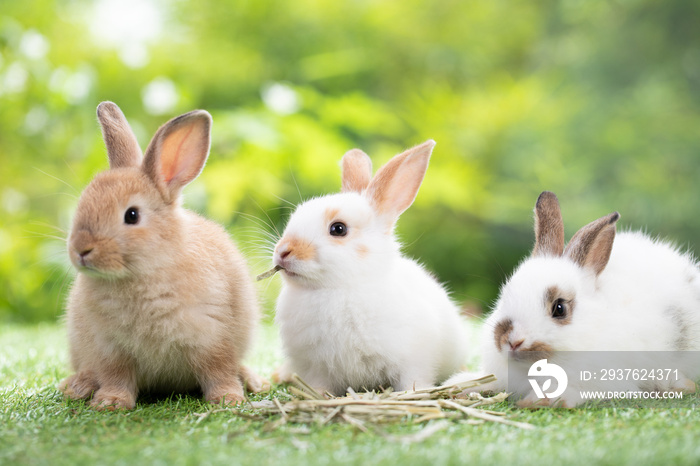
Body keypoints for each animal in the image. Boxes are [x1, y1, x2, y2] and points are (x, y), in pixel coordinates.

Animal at [57, 101, 264, 408]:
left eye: (132, 215)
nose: (81, 249)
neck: (146, 270)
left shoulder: (213, 337)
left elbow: (219, 370)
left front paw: (228, 400)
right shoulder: (111, 348)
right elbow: (116, 376)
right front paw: (110, 403)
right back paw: (76, 386)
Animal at [270, 140, 468, 396]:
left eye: (338, 229)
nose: (283, 251)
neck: (338, 288)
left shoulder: (414, 359)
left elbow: (412, 378)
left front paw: (413, 392)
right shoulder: (315, 366)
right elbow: (319, 385)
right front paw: (318, 395)